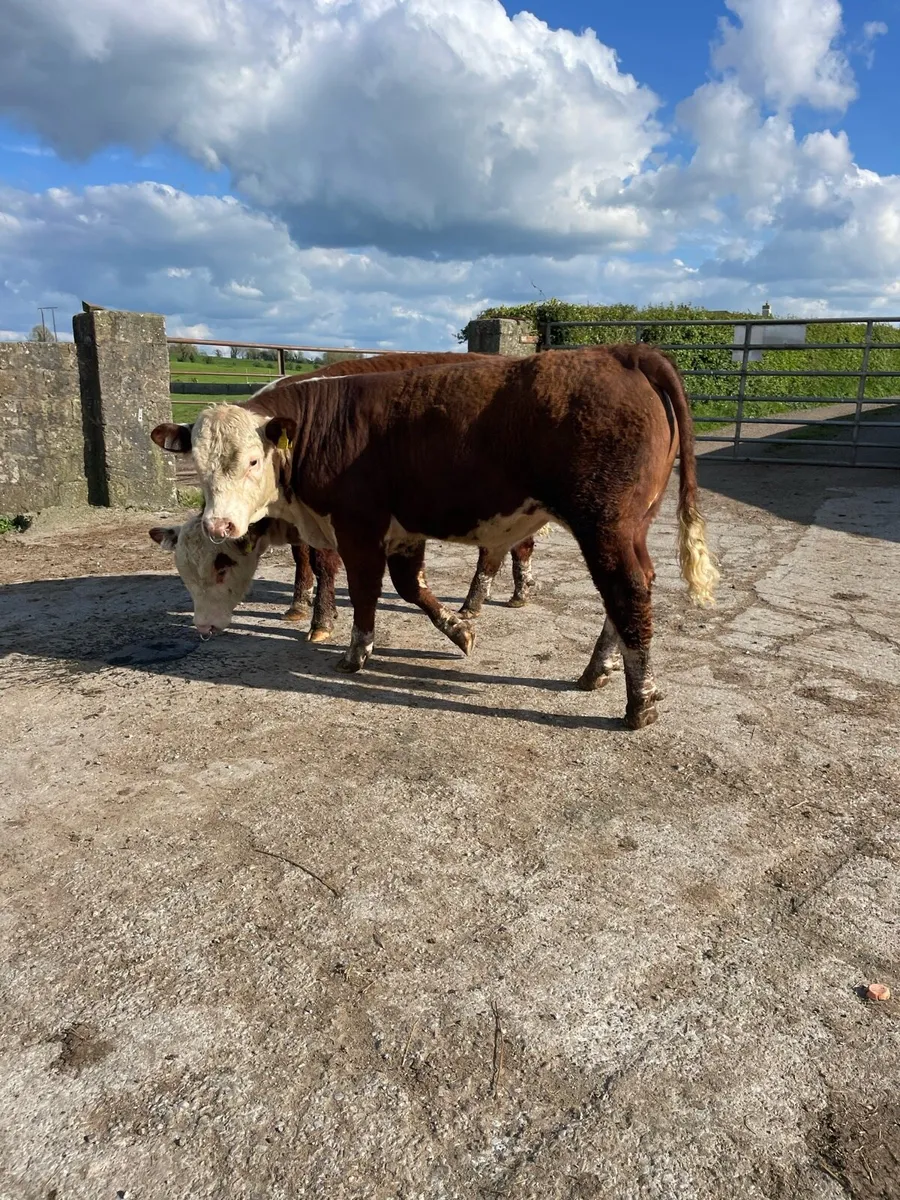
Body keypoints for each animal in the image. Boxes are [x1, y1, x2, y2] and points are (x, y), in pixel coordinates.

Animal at [149, 513, 340, 640]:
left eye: (222, 569)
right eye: (185, 576)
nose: (203, 626)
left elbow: (322, 563)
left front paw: (321, 623)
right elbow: (301, 555)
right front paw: (300, 604)